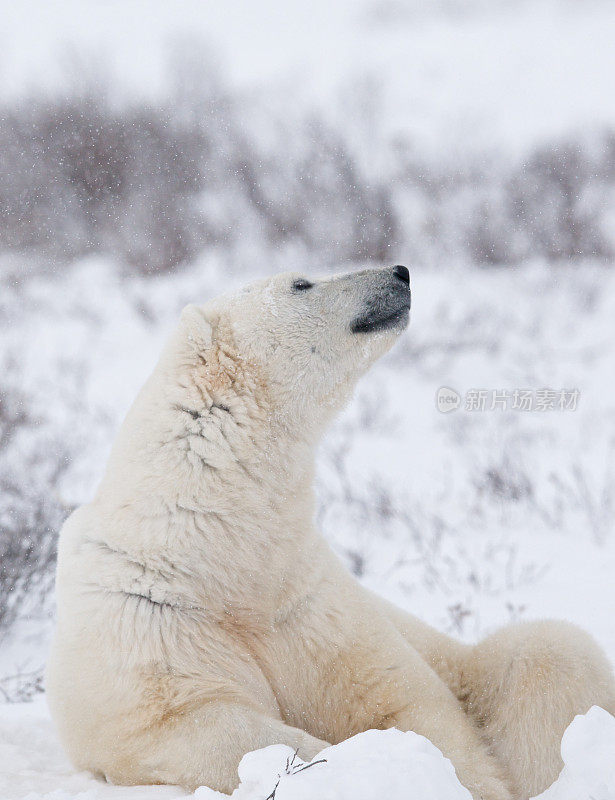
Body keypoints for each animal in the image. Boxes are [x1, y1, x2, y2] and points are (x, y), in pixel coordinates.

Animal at [47, 268, 615, 800]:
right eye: (302, 283)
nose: (400, 272)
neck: (219, 552)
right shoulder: (150, 625)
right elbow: (193, 721)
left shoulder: (308, 603)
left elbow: (398, 695)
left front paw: (457, 779)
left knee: (546, 652)